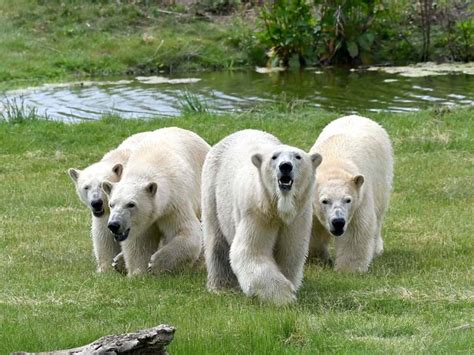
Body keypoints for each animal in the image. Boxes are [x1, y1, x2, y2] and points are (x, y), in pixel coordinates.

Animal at [67, 132, 150, 274]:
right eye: (86, 187)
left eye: (102, 185)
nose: (96, 203)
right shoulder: (105, 213)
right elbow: (103, 235)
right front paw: (104, 269)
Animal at [102, 128, 209, 278]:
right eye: (111, 204)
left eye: (131, 204)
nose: (114, 225)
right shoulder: (142, 222)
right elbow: (139, 242)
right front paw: (138, 273)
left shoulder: (174, 202)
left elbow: (187, 232)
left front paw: (155, 264)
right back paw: (118, 261)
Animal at [200, 129, 322, 304]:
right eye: (274, 157)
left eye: (298, 157)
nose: (285, 166)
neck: (279, 208)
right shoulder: (257, 211)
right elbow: (251, 251)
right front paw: (284, 296)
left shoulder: (298, 216)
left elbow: (291, 252)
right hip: (212, 188)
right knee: (216, 241)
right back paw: (221, 286)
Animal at [308, 115, 392, 274]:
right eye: (324, 201)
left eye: (348, 200)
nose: (338, 222)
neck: (332, 165)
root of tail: (358, 116)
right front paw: (317, 259)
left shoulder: (360, 199)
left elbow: (355, 230)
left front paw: (349, 269)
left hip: (383, 174)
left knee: (379, 214)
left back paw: (377, 249)